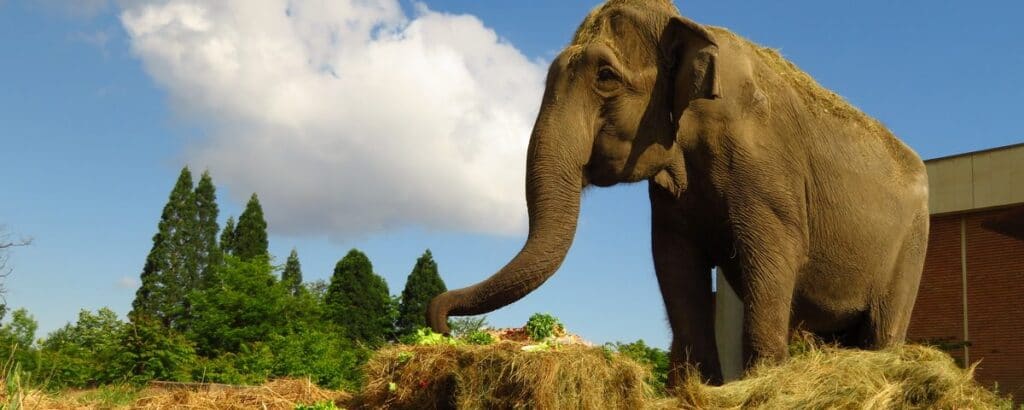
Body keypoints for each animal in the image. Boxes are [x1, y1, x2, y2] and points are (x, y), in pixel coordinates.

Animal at [428, 0, 929, 386]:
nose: (442, 327)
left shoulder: (765, 167)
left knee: (882, 329)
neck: (690, 24)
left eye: (605, 76)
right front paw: (700, 388)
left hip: (911, 248)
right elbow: (674, 264)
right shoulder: (671, 197)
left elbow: (774, 257)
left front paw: (759, 386)